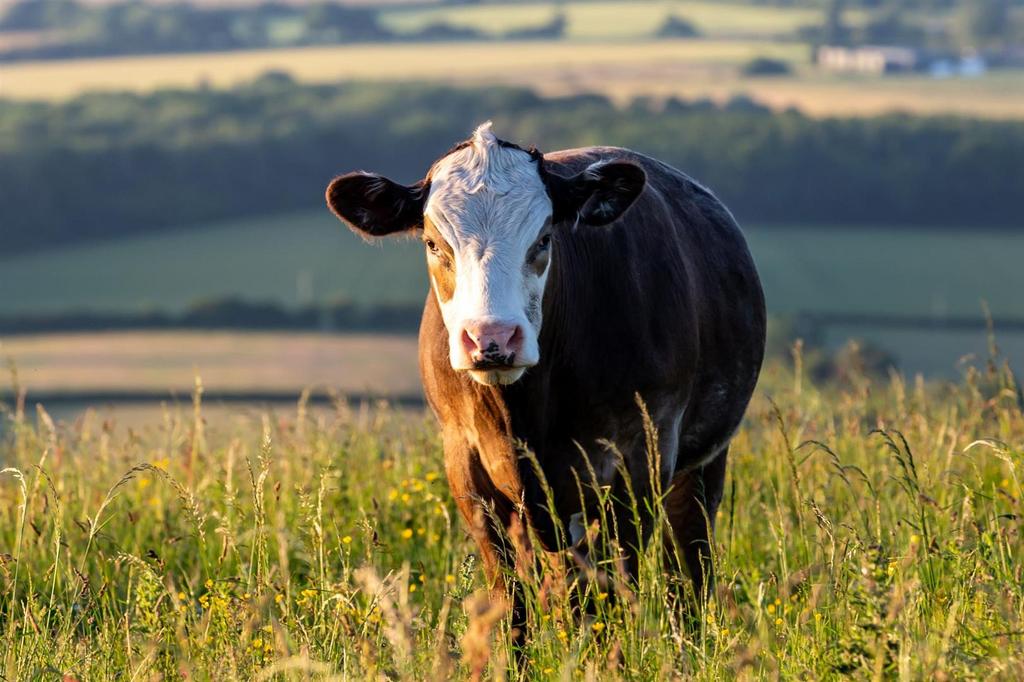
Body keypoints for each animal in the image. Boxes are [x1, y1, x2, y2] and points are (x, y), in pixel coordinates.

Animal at [326, 122, 766, 636]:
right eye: (433, 243)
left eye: (543, 239)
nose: (492, 338)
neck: (523, 417)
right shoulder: (465, 462)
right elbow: (509, 600)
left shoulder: (641, 453)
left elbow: (616, 591)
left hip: (703, 460)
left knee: (687, 569)